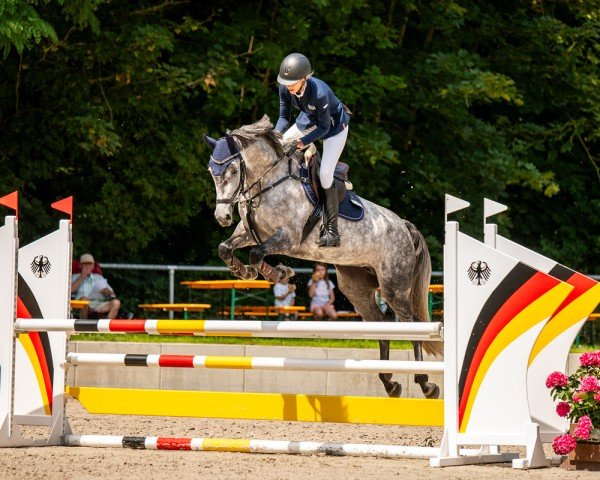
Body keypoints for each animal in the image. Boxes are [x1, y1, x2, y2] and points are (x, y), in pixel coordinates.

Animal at [204, 115, 442, 398]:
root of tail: (404, 226)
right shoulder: (250, 232)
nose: (222, 217)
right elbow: (225, 248)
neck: (269, 182)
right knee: (382, 324)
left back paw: (426, 383)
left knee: (412, 326)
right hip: (356, 287)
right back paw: (390, 383)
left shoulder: (288, 238)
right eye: (211, 172)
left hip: (394, 288)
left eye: (231, 171)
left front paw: (279, 273)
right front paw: (245, 272)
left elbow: (256, 253)